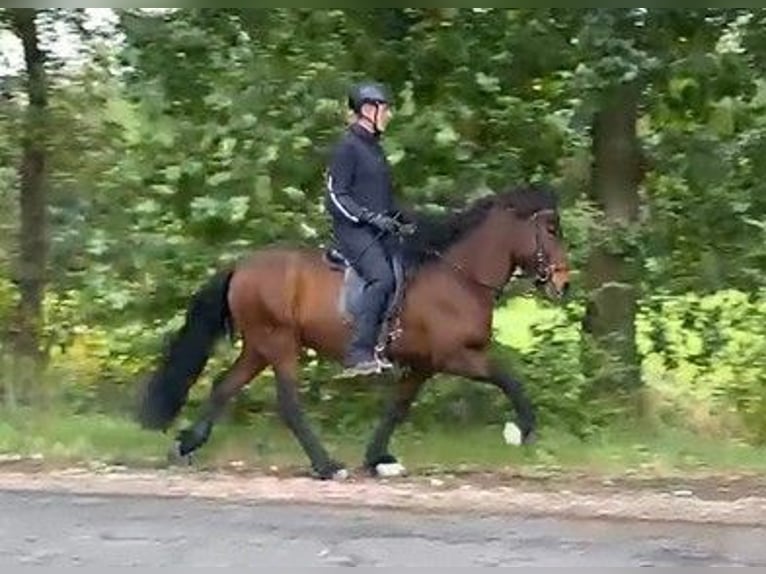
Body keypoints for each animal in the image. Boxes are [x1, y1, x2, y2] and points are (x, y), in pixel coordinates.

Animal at [135, 182, 571, 480]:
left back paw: (186, 445)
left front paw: (379, 458)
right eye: (551, 229)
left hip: (259, 346)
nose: (563, 283)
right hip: (279, 342)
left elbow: (397, 408)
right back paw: (326, 465)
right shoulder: (455, 356)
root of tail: (242, 266)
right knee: (288, 403)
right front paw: (521, 431)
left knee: (223, 386)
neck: (458, 277)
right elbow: (508, 378)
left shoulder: (423, 363)